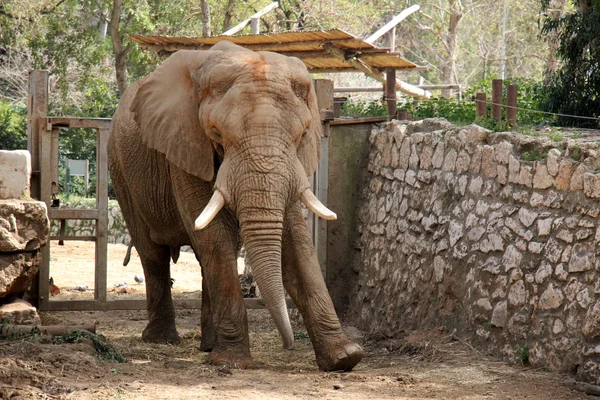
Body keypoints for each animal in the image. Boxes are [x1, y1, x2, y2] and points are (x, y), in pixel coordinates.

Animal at [105, 40, 364, 372]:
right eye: (216, 133)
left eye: (303, 134)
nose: (288, 345)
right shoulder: (186, 147)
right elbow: (215, 237)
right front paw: (234, 362)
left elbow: (295, 241)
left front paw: (345, 357)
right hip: (121, 171)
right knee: (154, 254)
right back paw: (163, 340)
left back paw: (208, 345)